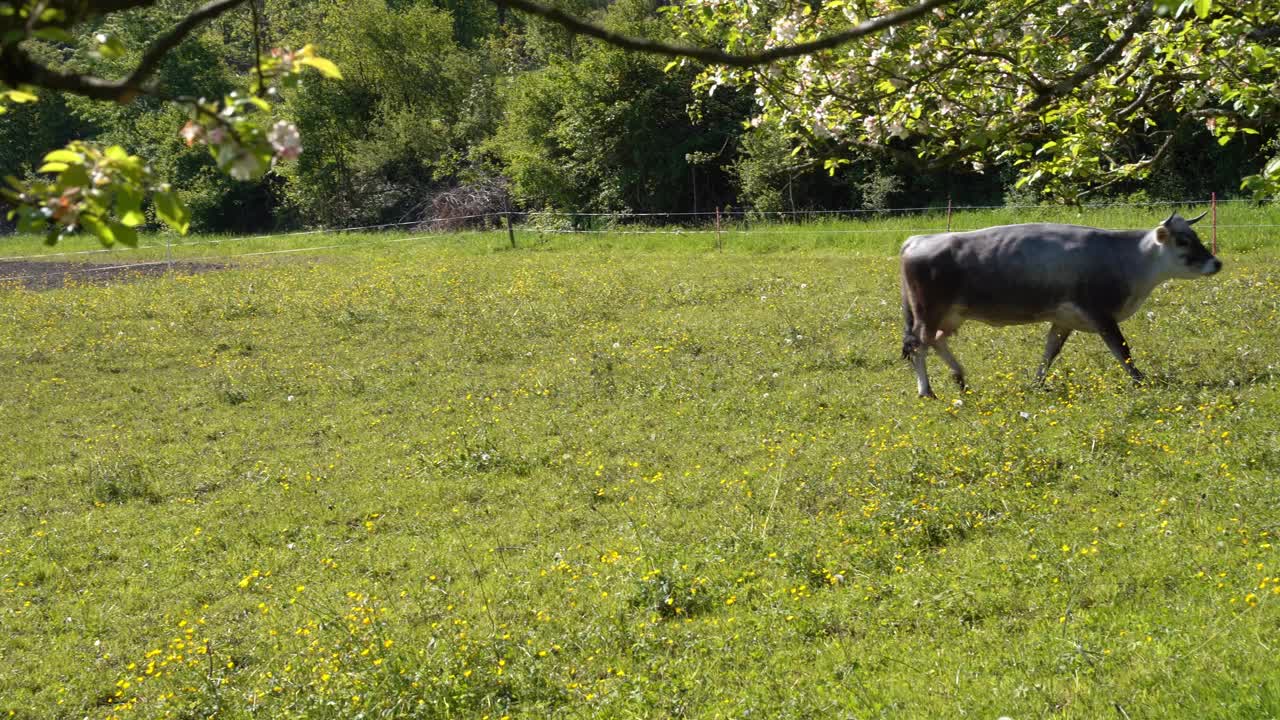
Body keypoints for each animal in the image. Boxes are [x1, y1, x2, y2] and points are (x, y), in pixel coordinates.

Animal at [901, 207, 1218, 397]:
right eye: (1183, 241)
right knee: (919, 345)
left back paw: (960, 377)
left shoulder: (1064, 320)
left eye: (1195, 236)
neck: (1126, 258)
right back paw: (927, 390)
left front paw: (1036, 383)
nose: (1217, 262)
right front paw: (1141, 380)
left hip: (950, 315)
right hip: (928, 312)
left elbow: (1049, 352)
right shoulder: (1101, 314)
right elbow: (1122, 350)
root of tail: (917, 239)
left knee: (936, 341)